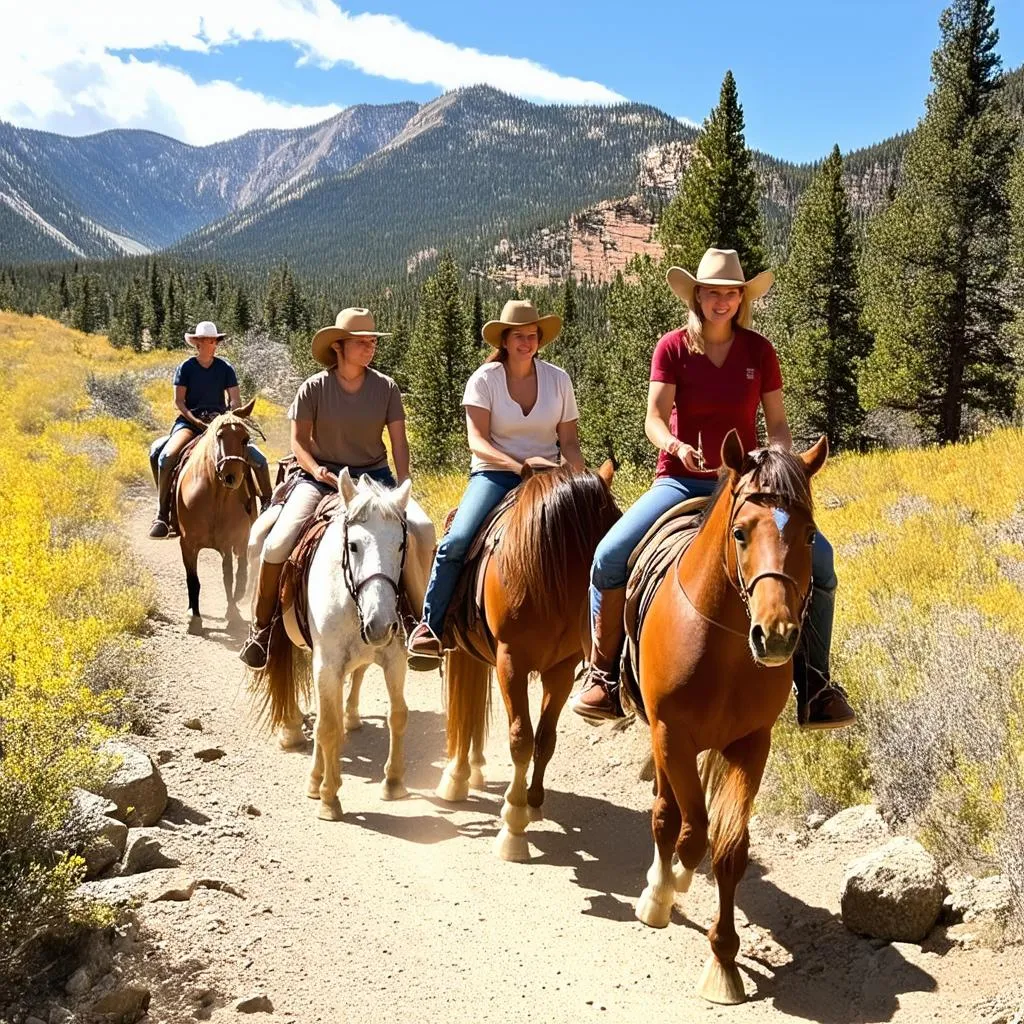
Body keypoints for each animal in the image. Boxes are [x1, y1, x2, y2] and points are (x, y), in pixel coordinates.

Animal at [175, 397, 260, 630]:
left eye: (245, 439)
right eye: (219, 436)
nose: (232, 476)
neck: (215, 497)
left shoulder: (227, 543)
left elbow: (228, 578)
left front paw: (232, 614)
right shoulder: (187, 543)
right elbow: (192, 579)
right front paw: (194, 616)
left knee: (242, 565)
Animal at [245, 468, 409, 819]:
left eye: (402, 545)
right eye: (354, 545)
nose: (381, 623)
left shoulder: (394, 659)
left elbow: (397, 715)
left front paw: (393, 782)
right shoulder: (327, 664)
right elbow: (329, 727)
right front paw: (329, 797)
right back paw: (293, 733)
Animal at [432, 460, 614, 860]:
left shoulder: (560, 671)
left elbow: (545, 739)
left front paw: (533, 801)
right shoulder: (510, 664)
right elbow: (521, 739)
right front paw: (513, 825)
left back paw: (471, 771)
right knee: (463, 714)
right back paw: (455, 776)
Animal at [634, 428, 827, 1003]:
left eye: (810, 536)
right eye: (740, 533)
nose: (777, 635)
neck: (722, 644)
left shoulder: (751, 743)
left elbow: (729, 847)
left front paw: (723, 961)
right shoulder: (671, 734)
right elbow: (691, 831)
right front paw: (666, 890)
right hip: (660, 738)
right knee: (666, 813)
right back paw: (659, 888)